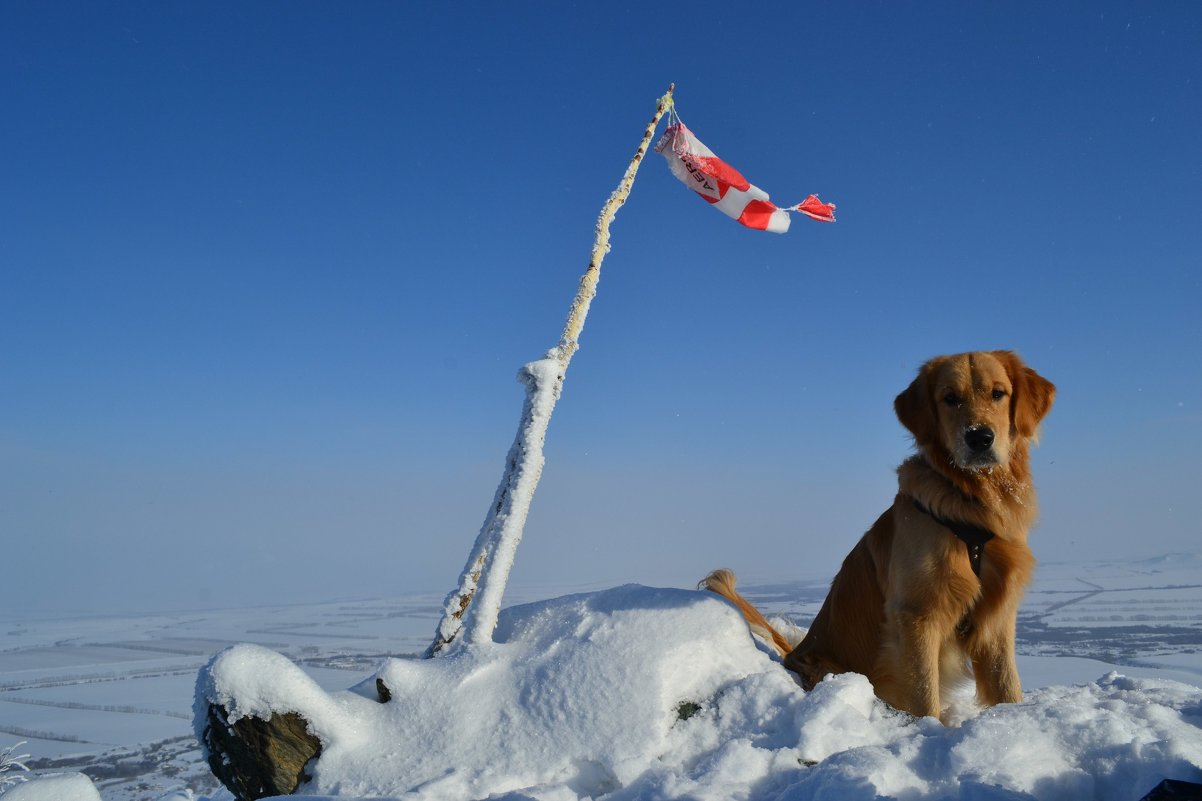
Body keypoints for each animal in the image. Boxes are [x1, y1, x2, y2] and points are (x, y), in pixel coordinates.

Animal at [701, 348, 1052, 716]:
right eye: (950, 399)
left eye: (998, 393)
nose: (979, 437)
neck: (970, 503)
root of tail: (794, 654)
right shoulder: (916, 614)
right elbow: (925, 695)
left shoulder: (998, 614)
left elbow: (1007, 686)